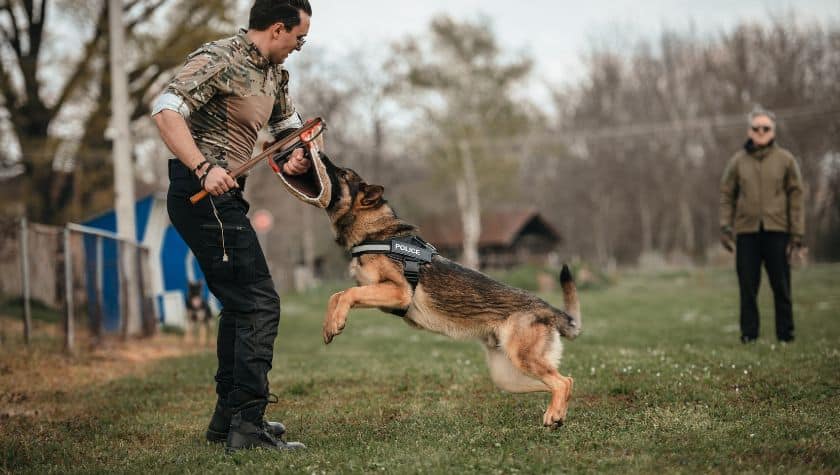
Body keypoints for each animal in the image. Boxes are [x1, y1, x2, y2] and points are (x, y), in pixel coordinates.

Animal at [292, 155, 580, 428]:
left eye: (342, 174)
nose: (319, 154)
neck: (376, 232)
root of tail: (550, 310)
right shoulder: (376, 291)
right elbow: (336, 295)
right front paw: (329, 325)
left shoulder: (397, 292)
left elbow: (347, 293)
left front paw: (336, 322)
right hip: (508, 377)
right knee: (564, 380)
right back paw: (557, 413)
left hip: (523, 360)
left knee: (563, 381)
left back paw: (554, 415)